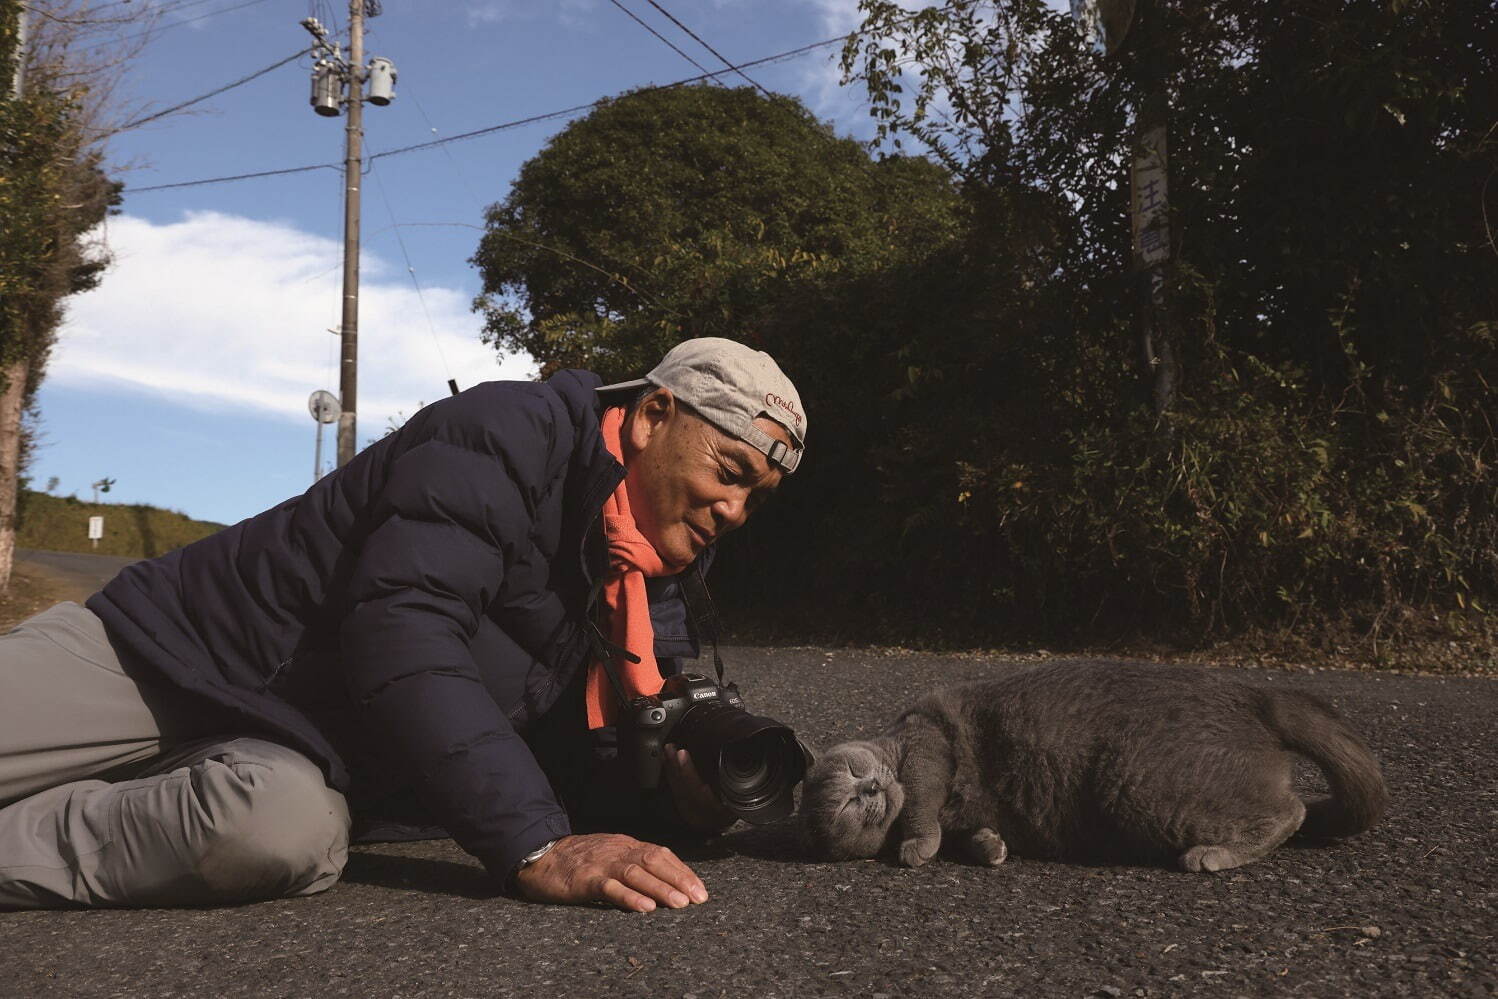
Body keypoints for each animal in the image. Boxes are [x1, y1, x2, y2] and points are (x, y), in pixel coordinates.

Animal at [802, 659, 1384, 868]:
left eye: (853, 778)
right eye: (850, 806)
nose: (873, 789)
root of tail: (1255, 696)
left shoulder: (928, 740)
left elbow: (922, 795)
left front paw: (916, 846)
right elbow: (972, 834)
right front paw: (989, 849)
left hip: (1136, 784)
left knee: (1291, 810)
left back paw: (1213, 854)